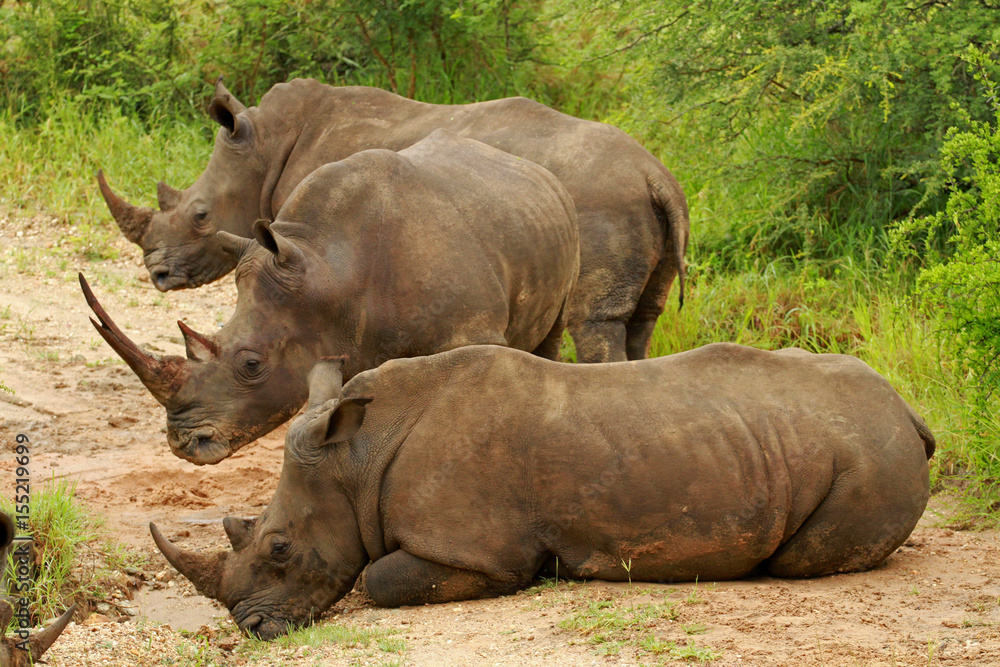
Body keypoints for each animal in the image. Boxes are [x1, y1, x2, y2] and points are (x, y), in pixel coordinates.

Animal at [98, 77, 689, 362]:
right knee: (643, 321)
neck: (263, 146)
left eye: (200, 215)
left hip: (601, 202)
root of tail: (655, 176)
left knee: (592, 322)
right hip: (647, 207)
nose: (157, 274)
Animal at [150, 343, 934, 639]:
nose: (250, 626)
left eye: (281, 548)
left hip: (870, 455)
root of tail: (906, 409)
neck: (356, 455)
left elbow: (378, 577)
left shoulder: (478, 552)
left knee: (800, 559)